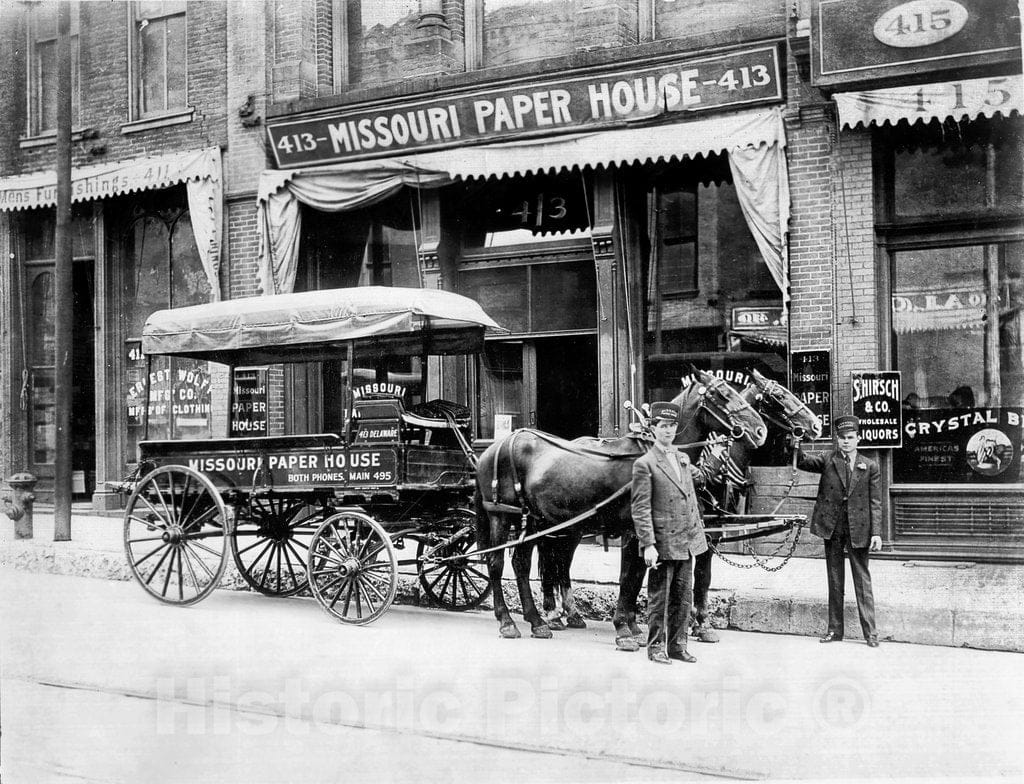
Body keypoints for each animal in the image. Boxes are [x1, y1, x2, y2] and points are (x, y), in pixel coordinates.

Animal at [475, 372, 765, 642]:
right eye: (722, 394)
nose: (760, 431)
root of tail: (495, 447)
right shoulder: (633, 530)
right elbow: (629, 576)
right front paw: (624, 628)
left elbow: (637, 576)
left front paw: (633, 626)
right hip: (503, 516)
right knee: (496, 563)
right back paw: (508, 621)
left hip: (536, 519)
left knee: (523, 563)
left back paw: (538, 621)